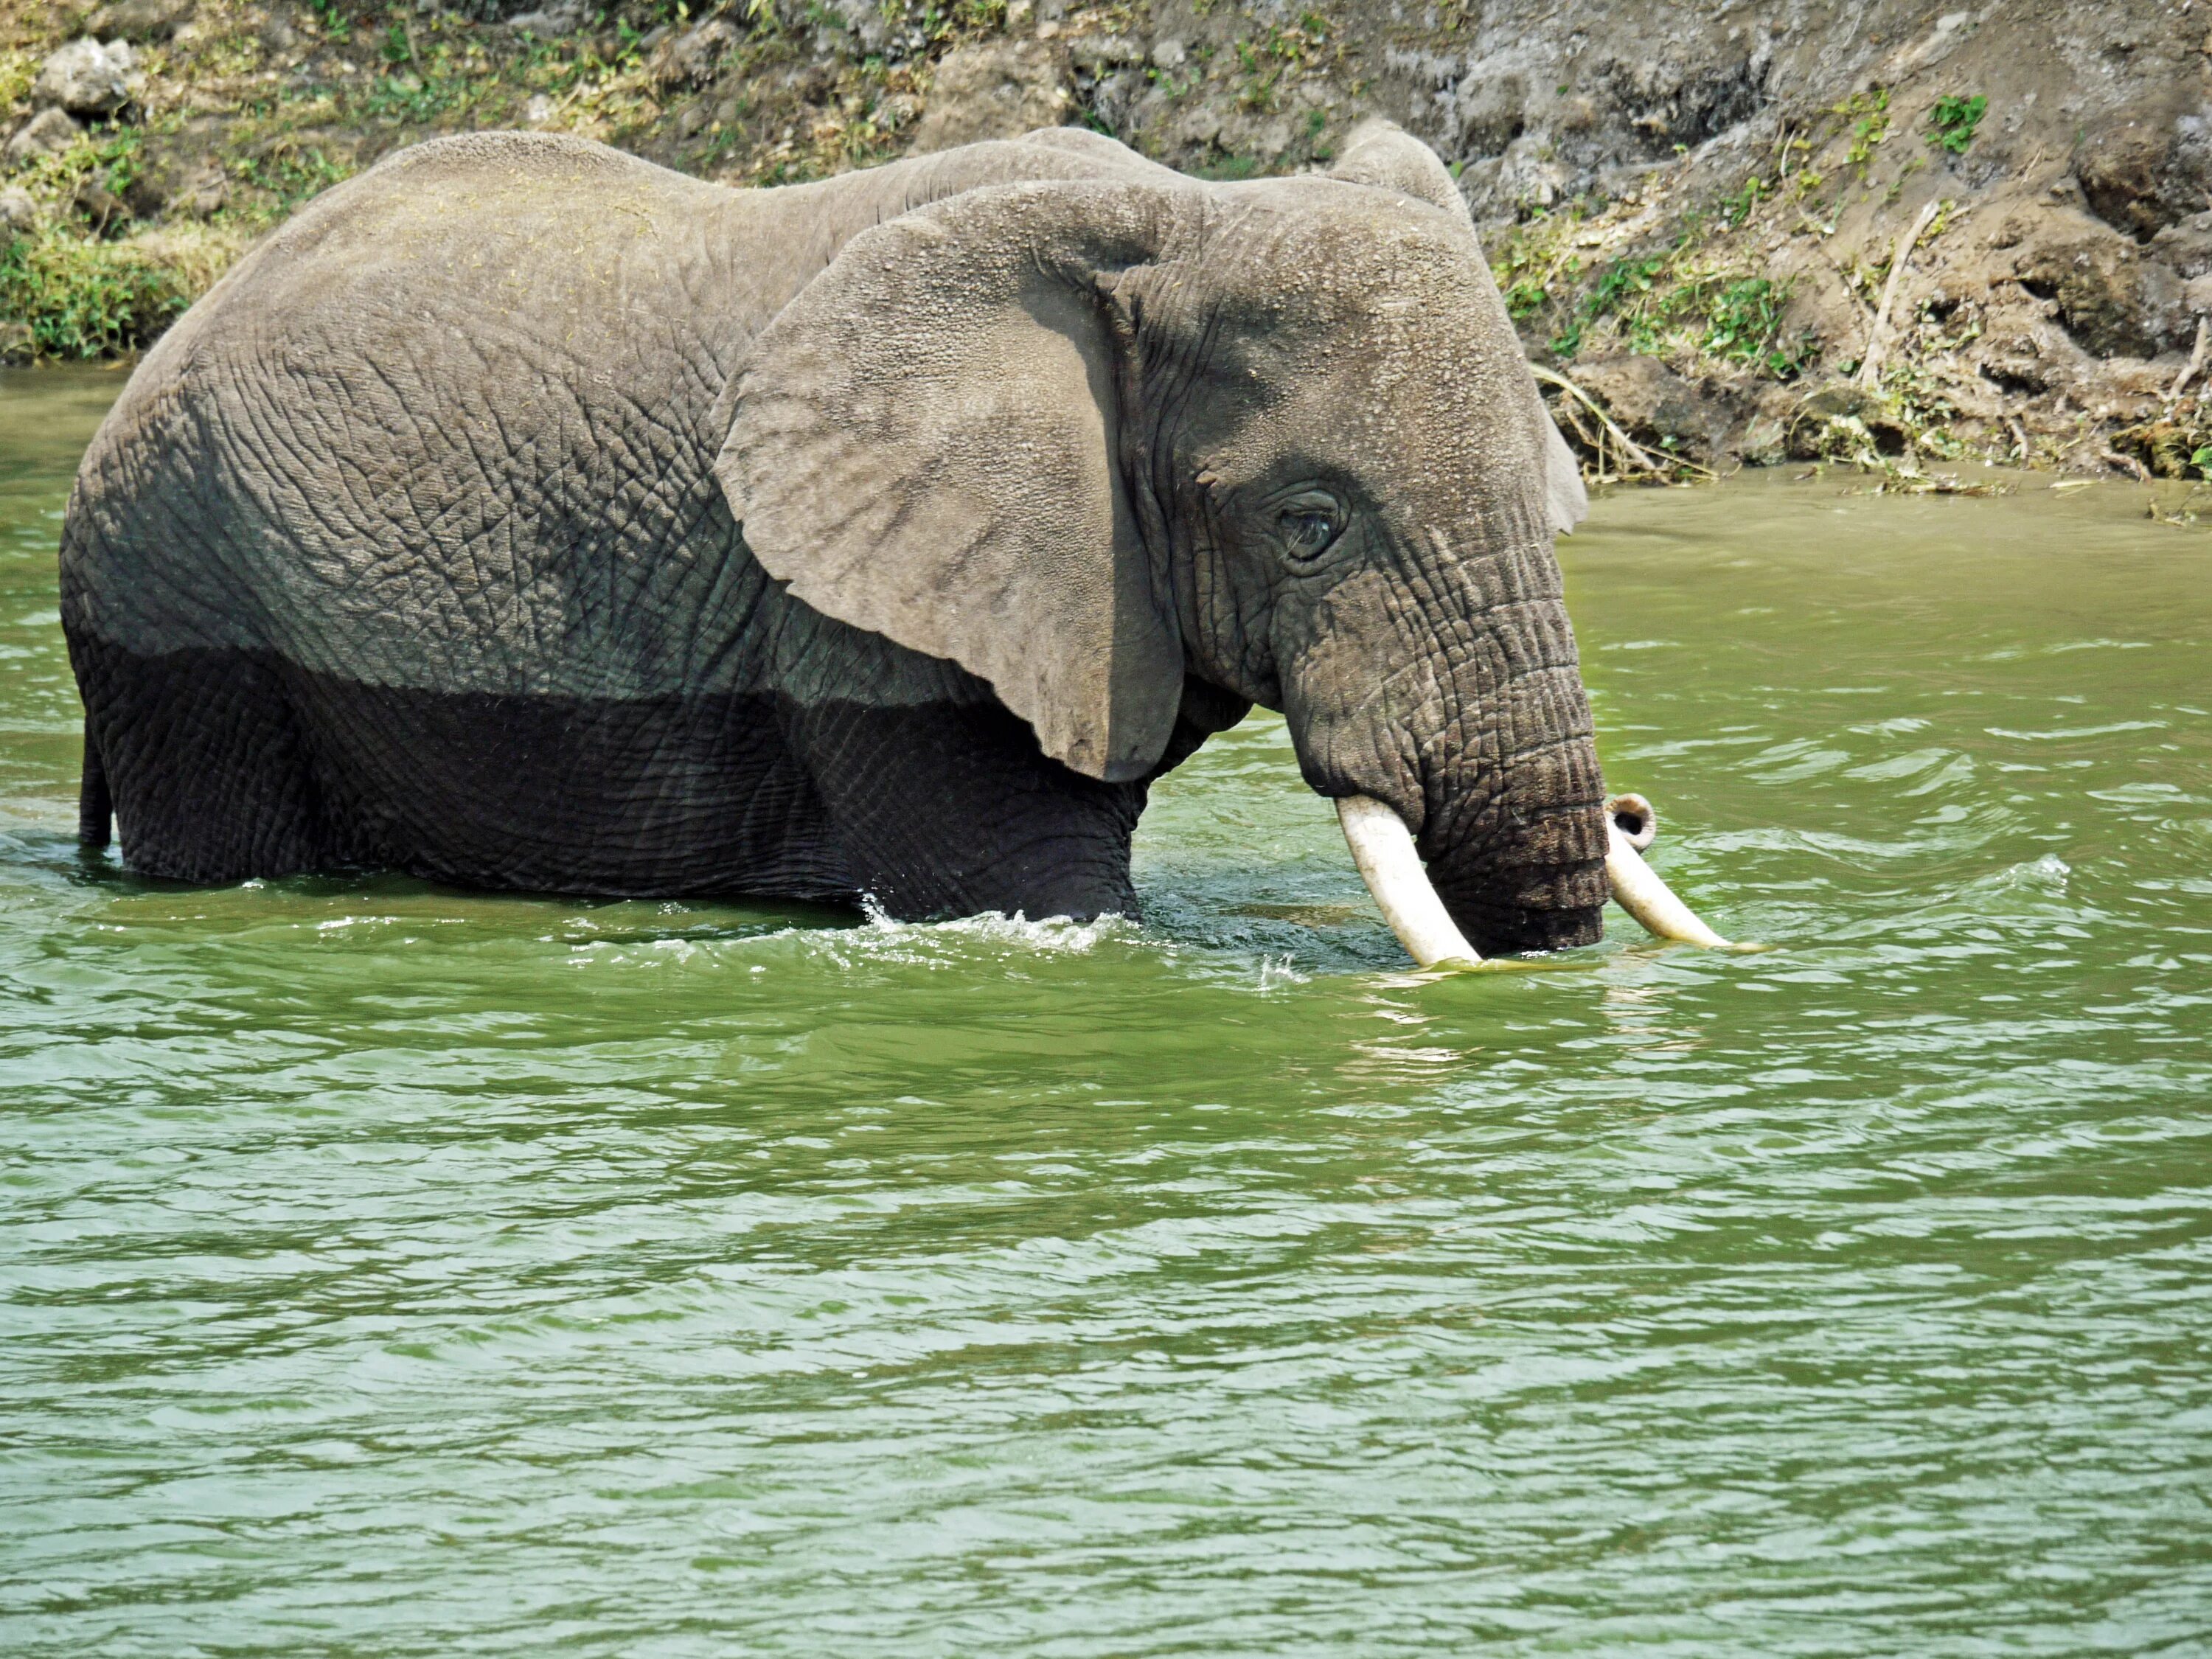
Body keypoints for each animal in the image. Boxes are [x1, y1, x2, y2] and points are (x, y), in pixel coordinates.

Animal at [52, 119, 1717, 960]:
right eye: (1308, 528)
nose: (1635, 812)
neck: (1170, 213)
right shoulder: (866, 612)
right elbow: (1035, 887)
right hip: (176, 595)